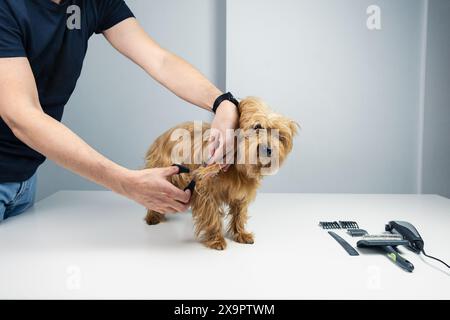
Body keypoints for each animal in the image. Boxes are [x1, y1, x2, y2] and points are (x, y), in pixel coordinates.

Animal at [145, 97, 298, 250]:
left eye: (280, 136)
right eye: (257, 126)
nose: (268, 149)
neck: (238, 166)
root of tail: (162, 137)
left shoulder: (241, 194)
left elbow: (239, 214)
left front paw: (240, 233)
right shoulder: (206, 191)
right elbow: (212, 215)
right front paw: (217, 239)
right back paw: (152, 216)